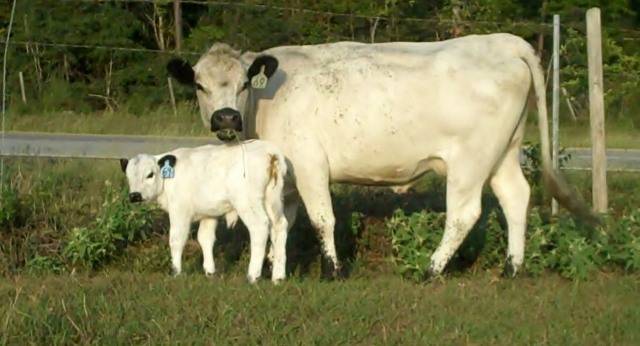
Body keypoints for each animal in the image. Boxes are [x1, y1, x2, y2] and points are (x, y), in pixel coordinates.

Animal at [119, 141, 288, 284]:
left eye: (150, 174)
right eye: (128, 176)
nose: (135, 196)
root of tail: (269, 150)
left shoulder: (180, 211)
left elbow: (176, 240)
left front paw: (176, 272)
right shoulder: (209, 214)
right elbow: (205, 238)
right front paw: (209, 271)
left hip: (247, 203)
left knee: (259, 228)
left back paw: (253, 275)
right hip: (273, 200)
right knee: (279, 227)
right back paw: (278, 276)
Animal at [166, 33, 596, 280]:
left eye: (243, 83)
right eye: (200, 85)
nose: (226, 117)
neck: (265, 101)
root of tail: (503, 41)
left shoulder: (309, 164)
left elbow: (322, 218)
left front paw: (332, 270)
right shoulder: (284, 180)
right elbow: (281, 223)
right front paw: (274, 265)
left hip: (470, 162)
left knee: (464, 214)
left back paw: (431, 269)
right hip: (503, 153)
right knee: (515, 197)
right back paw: (512, 268)